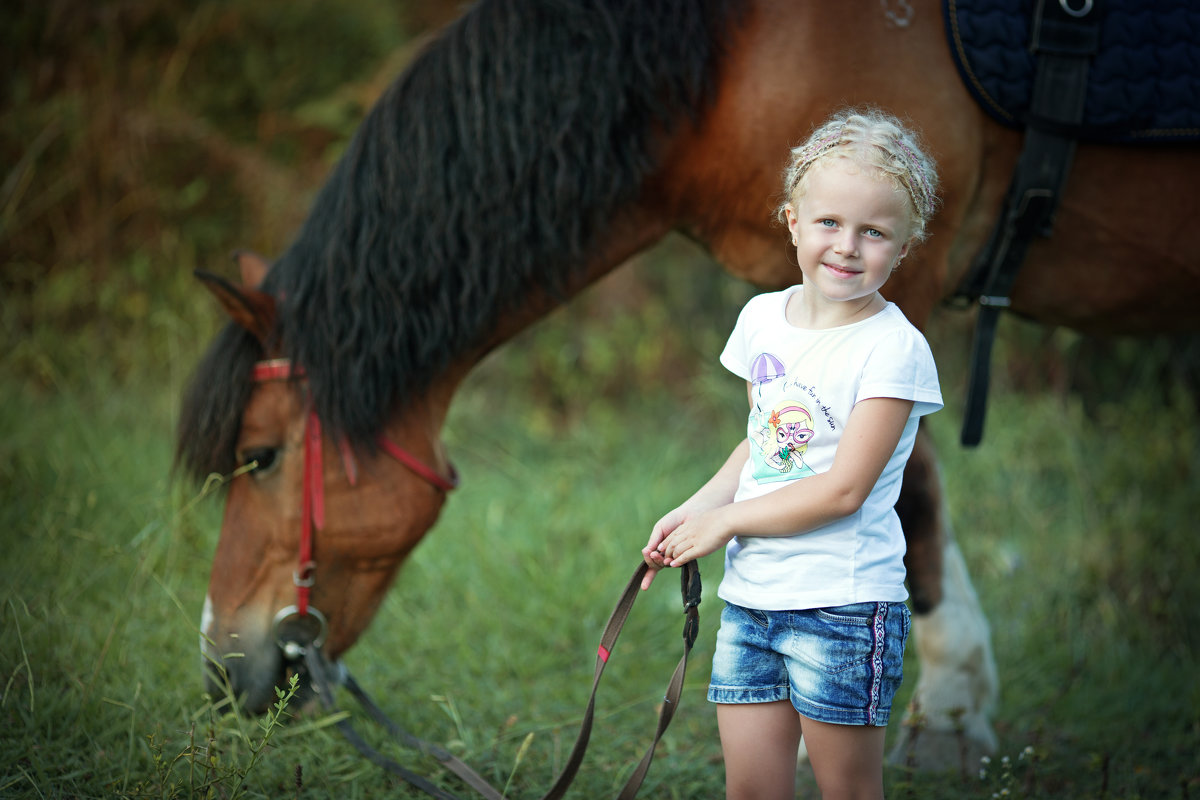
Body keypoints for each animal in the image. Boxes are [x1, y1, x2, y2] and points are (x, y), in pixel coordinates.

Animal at [175, 0, 1200, 772]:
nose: (223, 674)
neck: (735, 46)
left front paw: (940, 712)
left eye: (259, 456)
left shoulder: (897, 285)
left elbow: (910, 492)